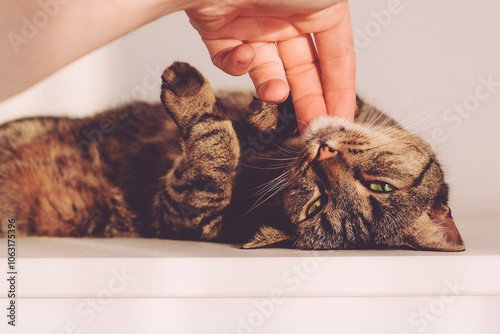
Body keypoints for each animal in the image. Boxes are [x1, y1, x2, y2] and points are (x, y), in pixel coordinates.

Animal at [0, 62, 464, 250]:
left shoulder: (185, 215)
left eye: (315, 205)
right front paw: (273, 107)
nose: (323, 151)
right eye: (379, 186)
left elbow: (214, 156)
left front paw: (191, 96)